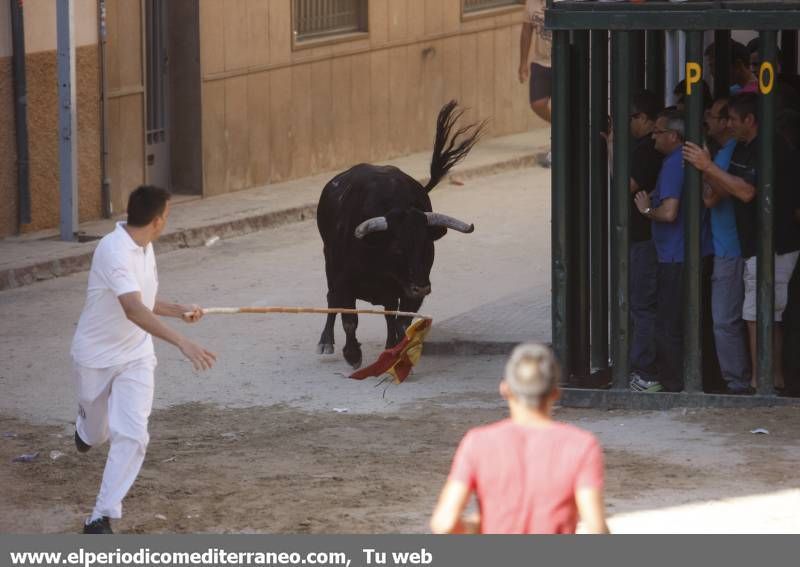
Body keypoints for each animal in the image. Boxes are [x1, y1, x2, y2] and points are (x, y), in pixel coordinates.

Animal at [318, 101, 482, 368]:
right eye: (398, 249)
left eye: (427, 248)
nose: (421, 288)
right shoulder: (344, 283)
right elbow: (349, 319)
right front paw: (353, 355)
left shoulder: (408, 290)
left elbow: (401, 321)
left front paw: (395, 353)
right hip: (329, 264)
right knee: (331, 298)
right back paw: (325, 341)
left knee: (389, 314)